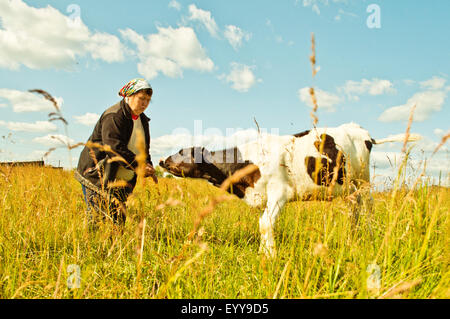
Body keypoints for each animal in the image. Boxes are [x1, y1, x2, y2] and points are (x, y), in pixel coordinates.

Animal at [159, 122, 422, 258]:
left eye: (182, 151)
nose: (161, 160)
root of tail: (362, 131)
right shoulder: (263, 196)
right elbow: (264, 223)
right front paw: (264, 252)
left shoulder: (280, 192)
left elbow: (266, 223)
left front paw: (270, 256)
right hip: (349, 187)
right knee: (354, 209)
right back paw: (352, 237)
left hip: (363, 180)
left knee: (368, 206)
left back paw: (367, 234)